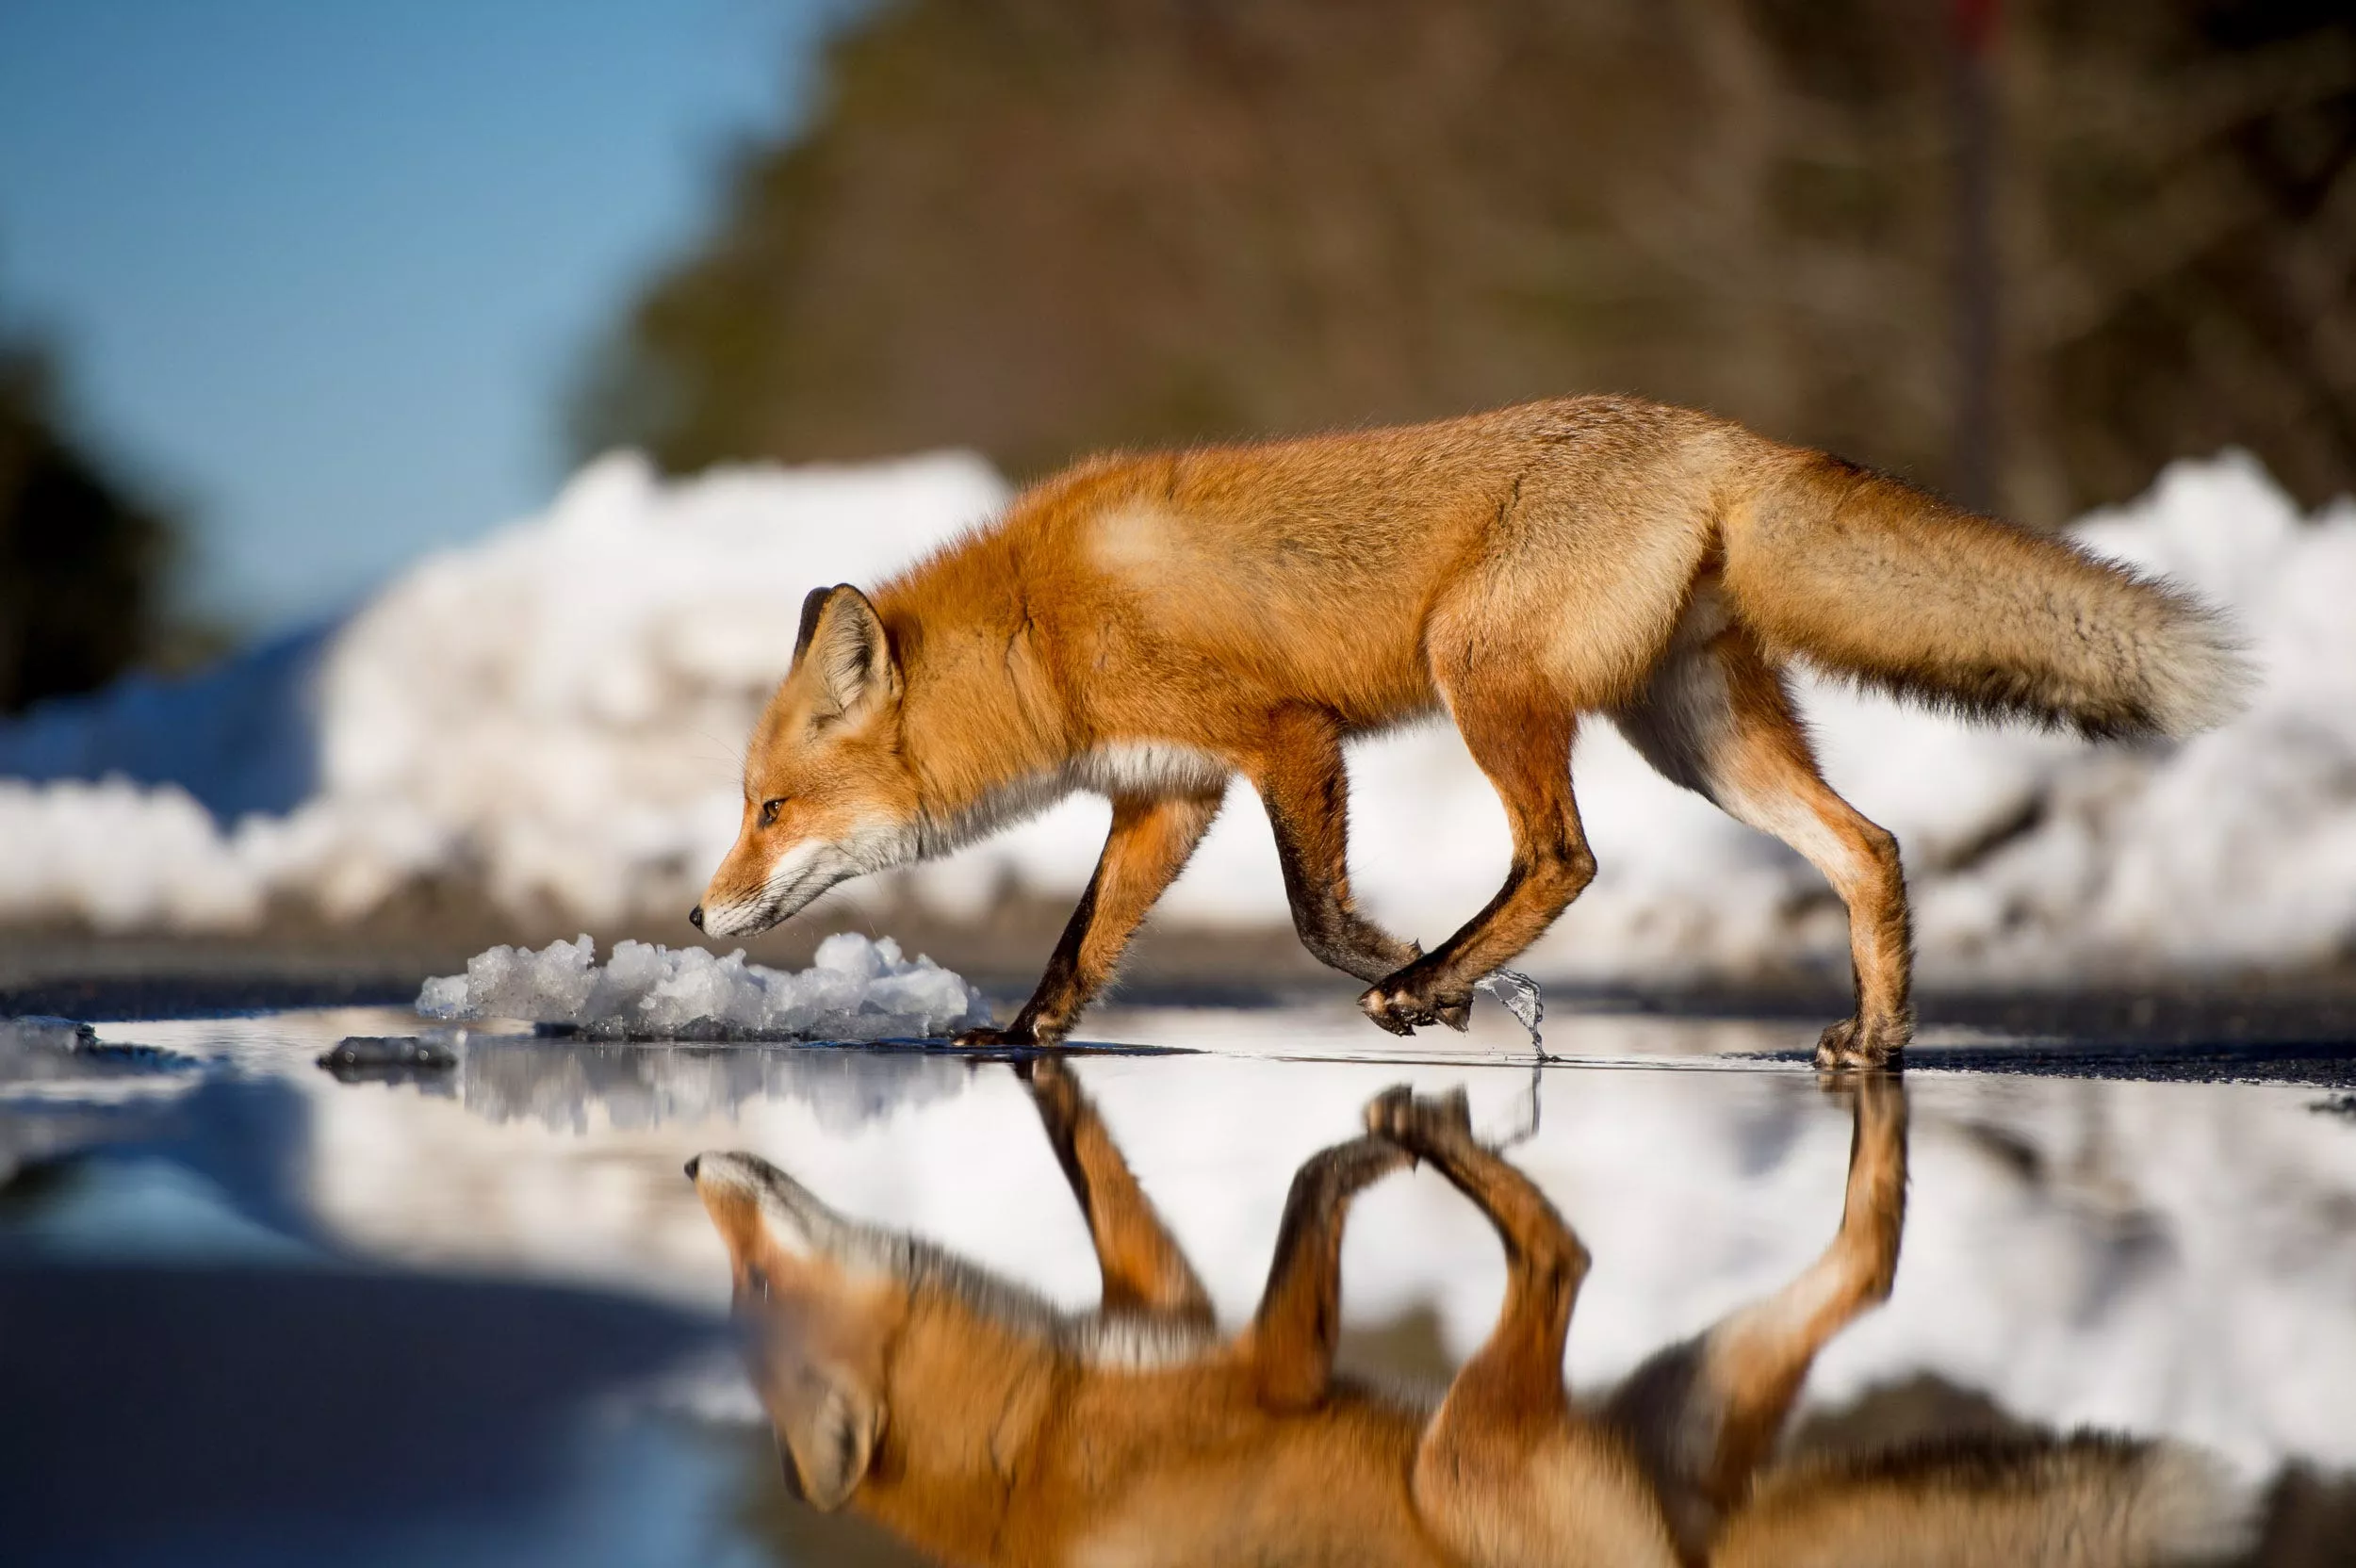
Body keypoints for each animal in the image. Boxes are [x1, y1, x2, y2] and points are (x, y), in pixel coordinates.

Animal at [688, 1061, 2252, 1567]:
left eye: (754, 1282)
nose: (698, 1165)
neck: (1039, 1441)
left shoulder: (1264, 1361)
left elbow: (1309, 1229)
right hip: (1665, 1408)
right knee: (1832, 1287)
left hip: (1466, 1459)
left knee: (1566, 1259)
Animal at [691, 397, 2250, 1064]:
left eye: (768, 810)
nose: (701, 916)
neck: (1041, 623)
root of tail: (1717, 434)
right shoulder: (1166, 795)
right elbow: (1081, 948)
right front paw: (1018, 1038)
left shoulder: (1285, 736)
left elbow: (1316, 914)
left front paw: (1416, 972)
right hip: (1694, 738)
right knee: (1868, 846)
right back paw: (1876, 1041)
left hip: (1481, 674)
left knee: (1565, 859)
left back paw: (1440, 977)